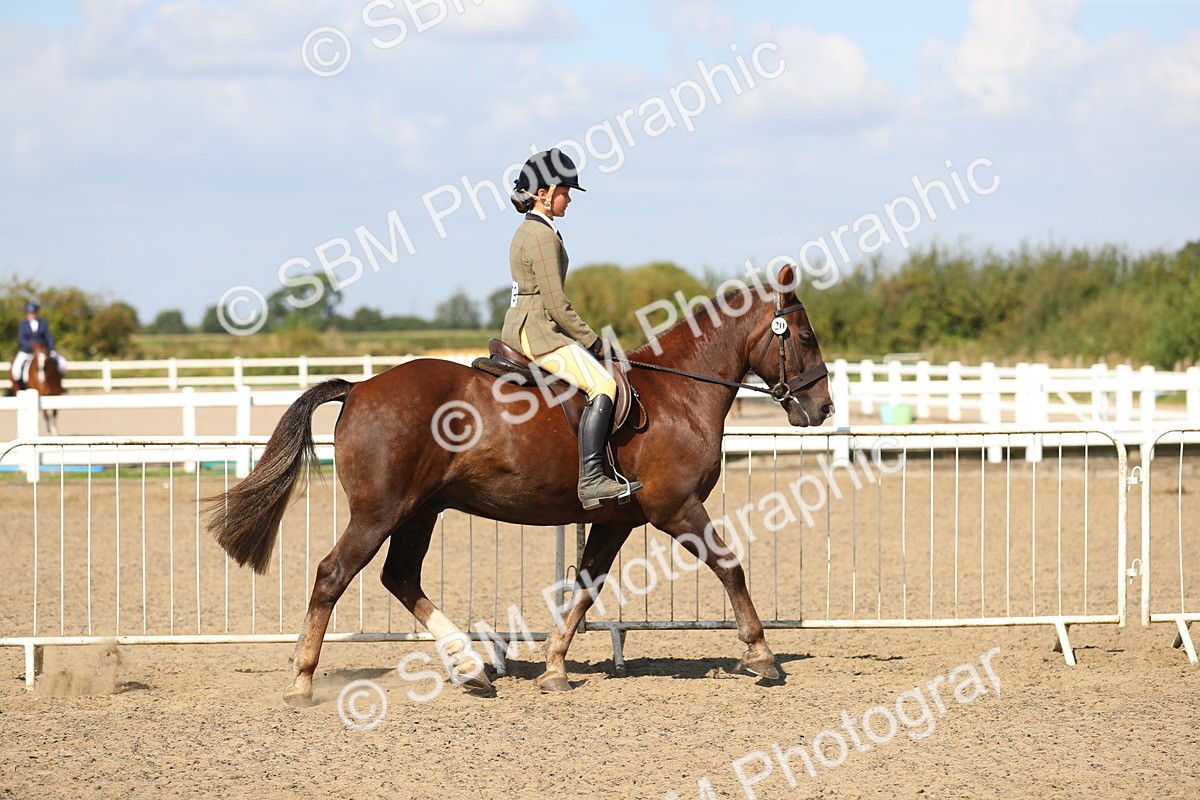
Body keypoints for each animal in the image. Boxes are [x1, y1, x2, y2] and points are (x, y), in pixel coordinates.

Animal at [205, 264, 834, 707]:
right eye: (804, 337)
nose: (823, 409)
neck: (676, 395)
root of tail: (360, 388)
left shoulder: (616, 519)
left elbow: (585, 588)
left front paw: (554, 668)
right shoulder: (677, 507)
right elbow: (730, 566)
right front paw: (762, 656)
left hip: (420, 512)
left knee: (400, 578)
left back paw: (471, 669)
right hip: (379, 512)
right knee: (333, 575)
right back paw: (303, 681)